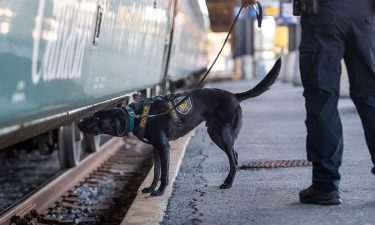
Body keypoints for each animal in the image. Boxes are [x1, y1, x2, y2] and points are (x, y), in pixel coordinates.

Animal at [78, 58, 280, 197]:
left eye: (97, 117)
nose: (79, 123)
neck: (138, 115)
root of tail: (235, 96)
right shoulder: (156, 148)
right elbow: (157, 172)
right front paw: (150, 188)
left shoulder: (164, 147)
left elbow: (165, 174)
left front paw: (160, 192)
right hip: (214, 133)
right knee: (235, 155)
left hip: (223, 135)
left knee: (234, 159)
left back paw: (228, 183)